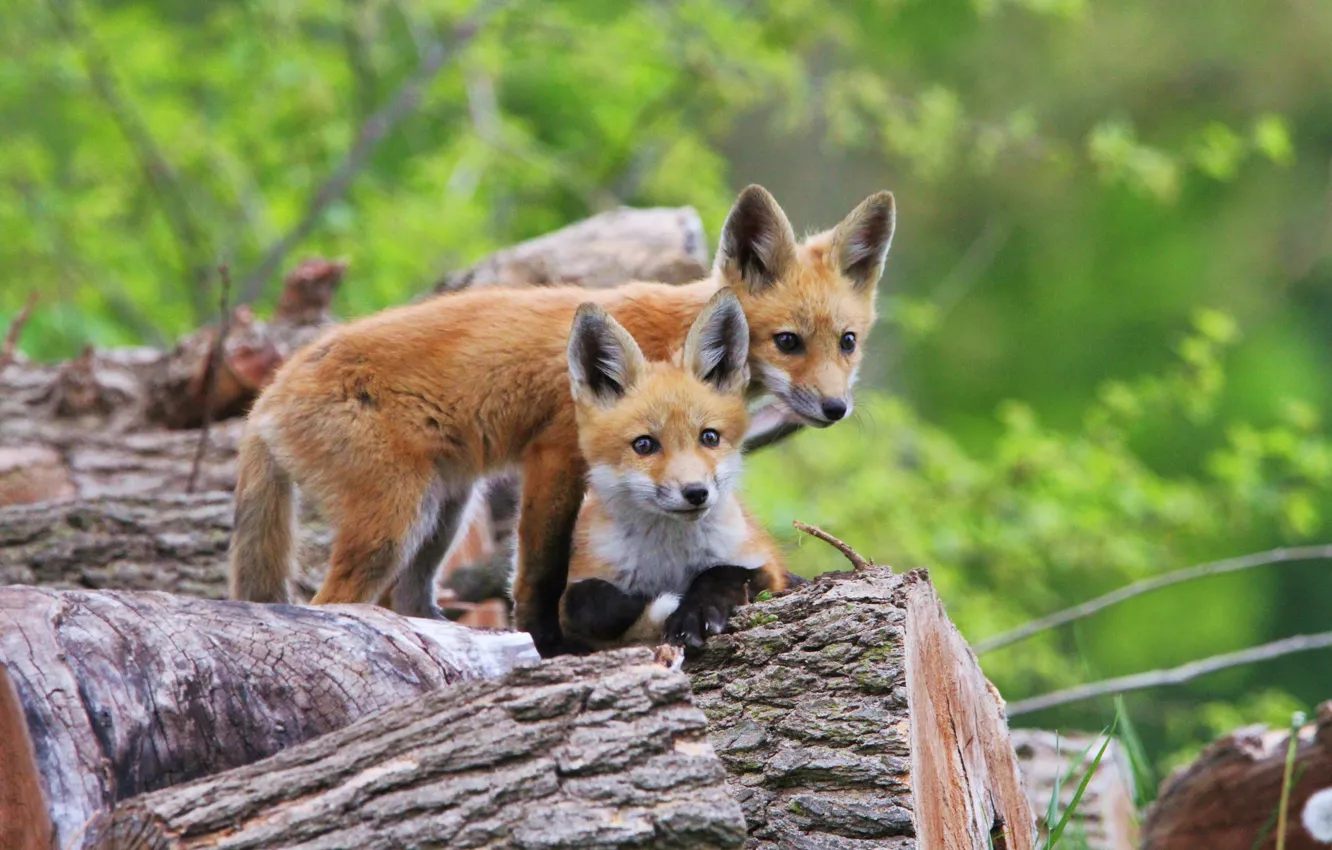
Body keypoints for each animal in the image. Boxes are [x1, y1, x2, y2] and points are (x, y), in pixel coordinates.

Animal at [558, 291, 787, 652]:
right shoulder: (576, 591)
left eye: (709, 437)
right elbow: (588, 601)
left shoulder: (767, 565)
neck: (669, 557)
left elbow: (721, 573)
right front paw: (658, 605)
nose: (696, 492)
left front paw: (694, 612)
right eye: (644, 445)